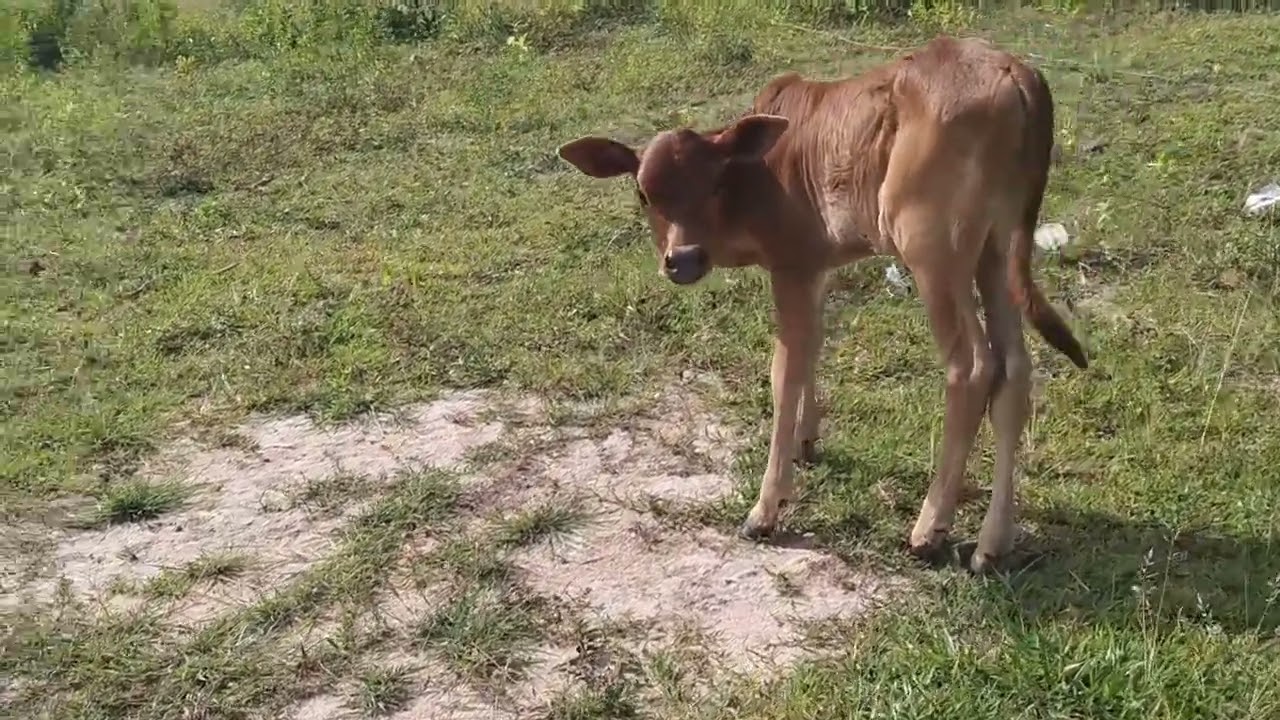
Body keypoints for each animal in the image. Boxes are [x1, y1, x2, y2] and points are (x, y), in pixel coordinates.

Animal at [555, 35, 1089, 573]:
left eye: (714, 183)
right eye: (644, 194)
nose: (682, 259)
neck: (762, 175)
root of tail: (1014, 71)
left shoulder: (793, 265)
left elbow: (783, 372)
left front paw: (767, 507)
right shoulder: (816, 267)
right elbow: (808, 351)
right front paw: (805, 442)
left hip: (933, 249)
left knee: (973, 367)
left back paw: (929, 528)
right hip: (997, 250)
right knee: (1014, 370)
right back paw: (991, 543)